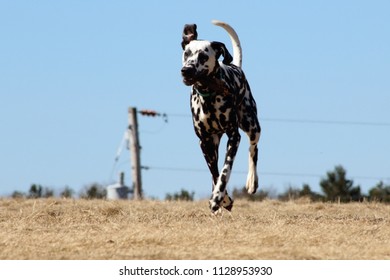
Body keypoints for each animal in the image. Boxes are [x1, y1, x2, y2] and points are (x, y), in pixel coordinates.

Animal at [181, 20, 260, 212]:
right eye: (186, 53)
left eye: (203, 56)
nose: (186, 70)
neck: (208, 98)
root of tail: (236, 66)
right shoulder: (205, 142)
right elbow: (215, 174)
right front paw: (223, 199)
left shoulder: (234, 137)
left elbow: (225, 171)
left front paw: (218, 196)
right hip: (215, 142)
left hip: (252, 125)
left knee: (253, 149)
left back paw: (252, 182)